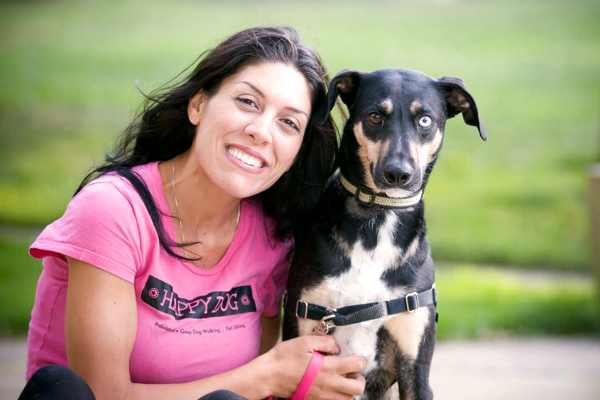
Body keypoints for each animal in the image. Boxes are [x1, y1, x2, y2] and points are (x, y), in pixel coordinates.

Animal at [284, 69, 486, 400]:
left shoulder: (415, 366)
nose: (398, 174)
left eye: (425, 120)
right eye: (375, 116)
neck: (380, 217)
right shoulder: (305, 335)